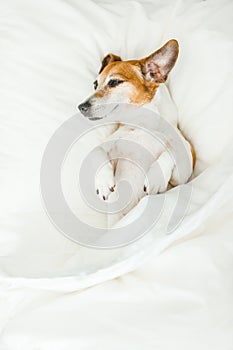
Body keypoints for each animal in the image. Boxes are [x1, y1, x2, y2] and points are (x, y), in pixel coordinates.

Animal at [78, 39, 195, 226]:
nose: (81, 107)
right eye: (95, 85)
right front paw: (103, 181)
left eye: (114, 82)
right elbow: (97, 150)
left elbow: (174, 150)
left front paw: (157, 176)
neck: (141, 124)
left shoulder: (182, 174)